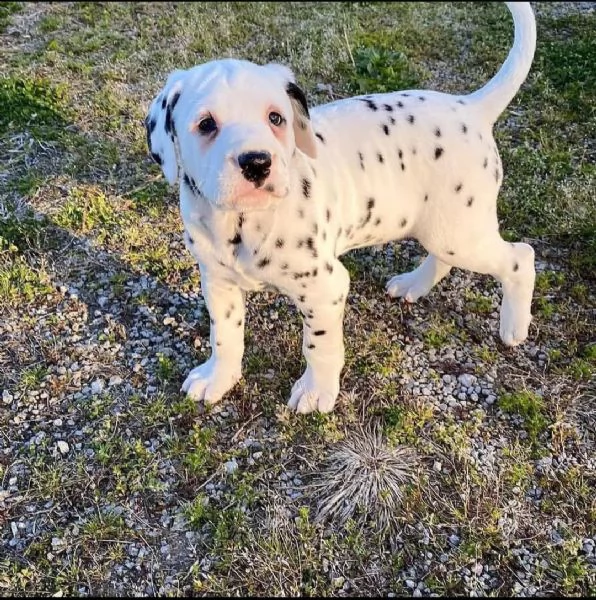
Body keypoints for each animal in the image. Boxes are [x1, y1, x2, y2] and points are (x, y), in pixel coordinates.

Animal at [146, 2, 540, 412]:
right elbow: (224, 336)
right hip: (443, 228)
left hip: (461, 233)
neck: (242, 223)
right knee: (444, 259)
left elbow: (318, 345)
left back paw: (514, 326)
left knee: (520, 257)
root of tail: (470, 108)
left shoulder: (325, 287)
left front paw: (316, 391)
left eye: (276, 118)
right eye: (206, 124)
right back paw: (414, 284)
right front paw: (218, 378)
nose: (256, 163)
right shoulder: (218, 282)